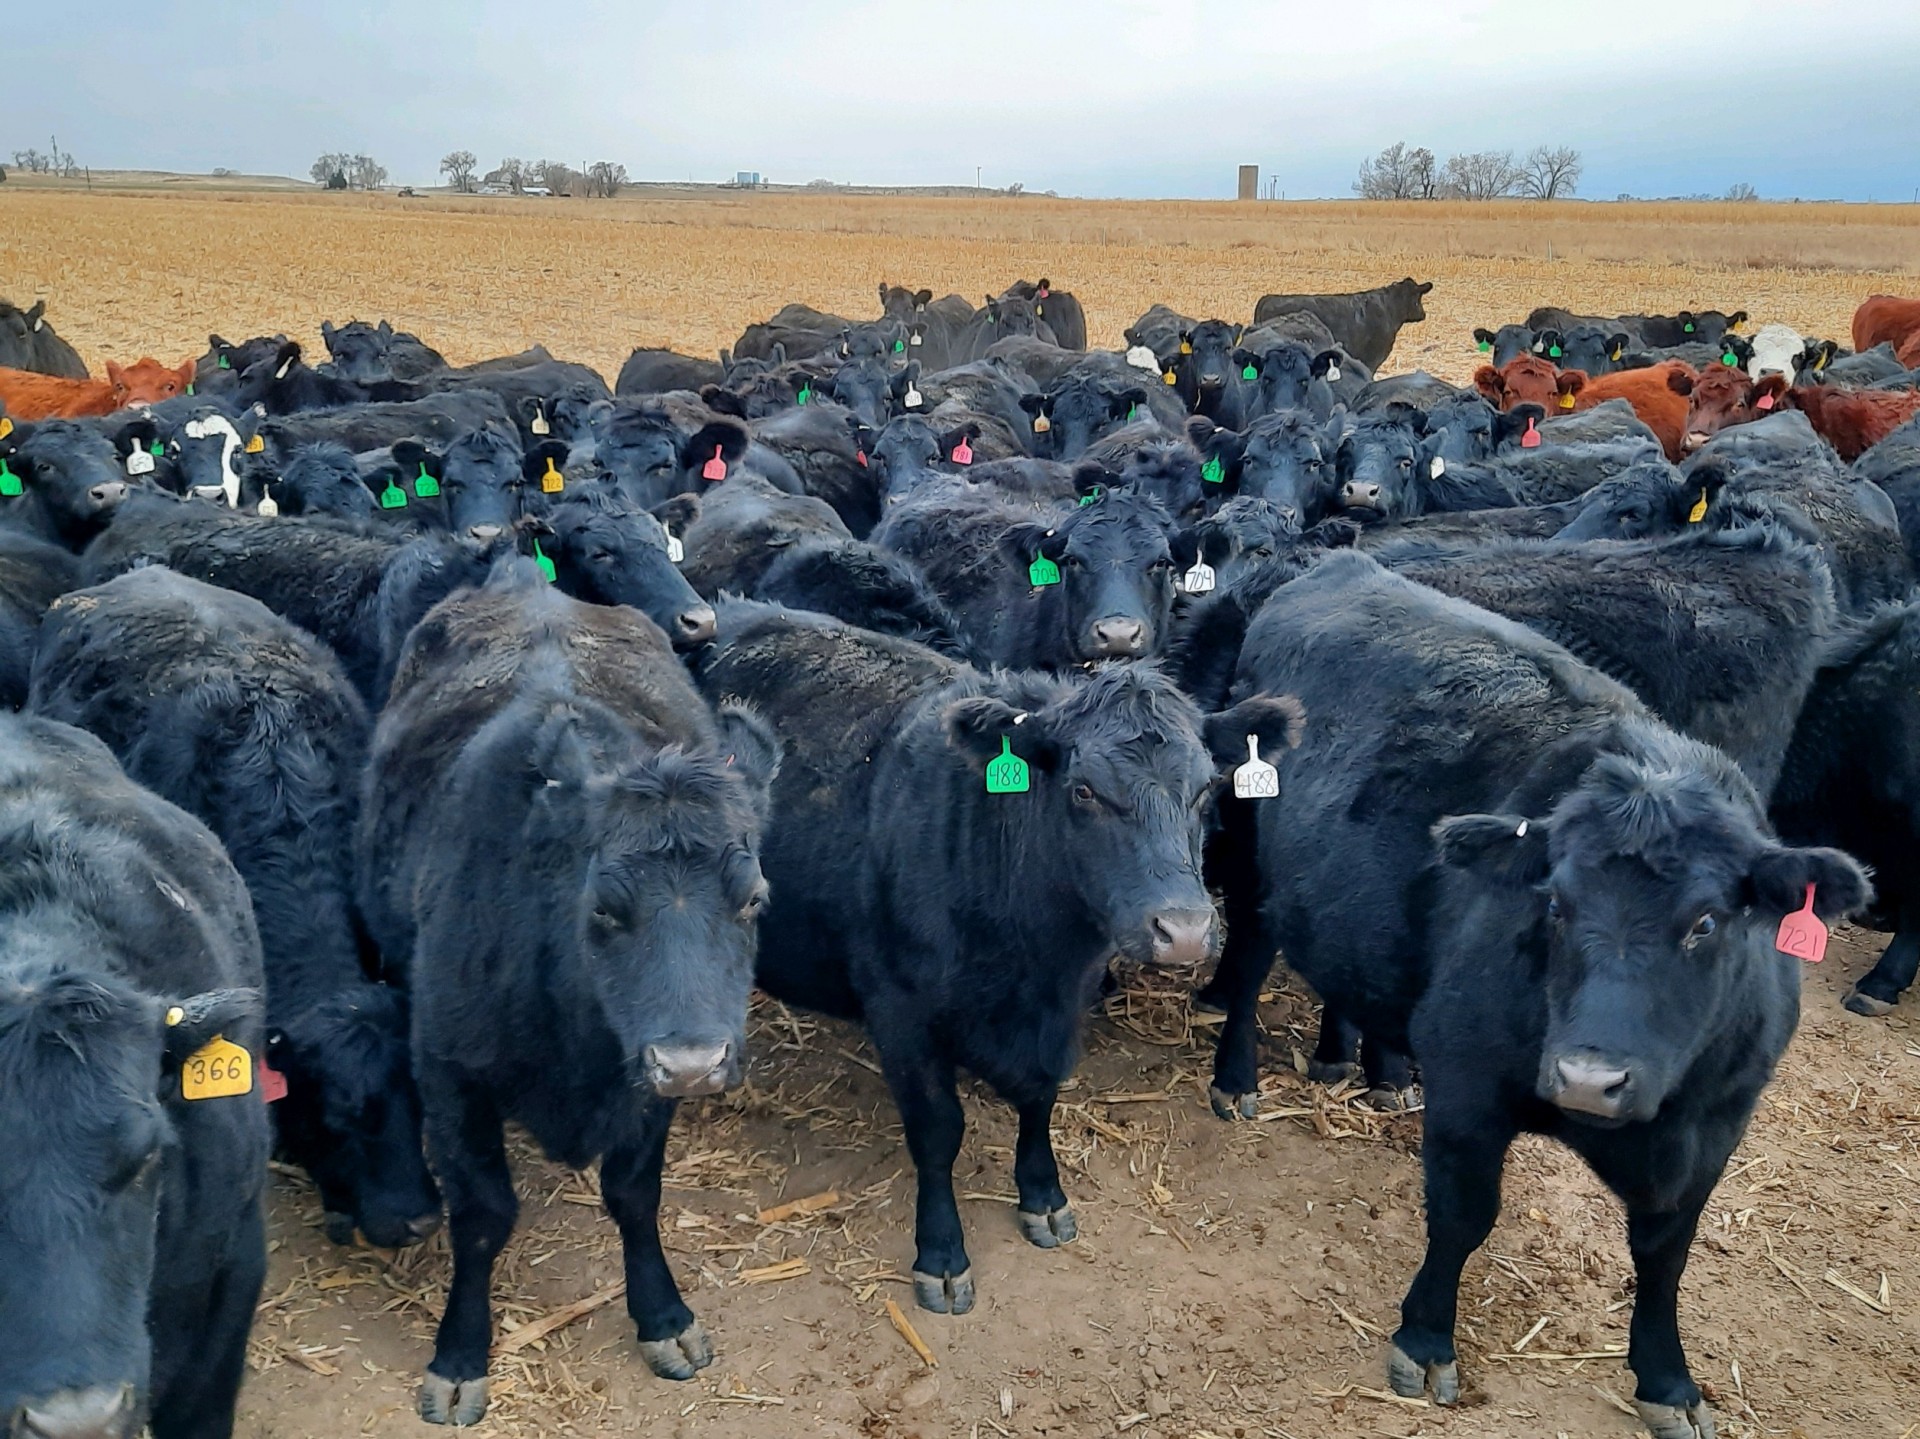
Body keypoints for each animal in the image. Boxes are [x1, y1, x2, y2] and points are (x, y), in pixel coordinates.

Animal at [358, 566, 778, 1424]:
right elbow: (482, 1216)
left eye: (752, 898)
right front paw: (459, 1354)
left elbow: (635, 1194)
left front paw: (663, 1314)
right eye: (604, 907)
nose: (693, 1061)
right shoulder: (449, 1071)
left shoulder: (641, 1080)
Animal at [692, 597, 1299, 1312]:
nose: (1182, 928)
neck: (1027, 953)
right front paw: (942, 1254)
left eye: (1207, 789)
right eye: (1083, 790)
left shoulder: (1065, 1002)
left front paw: (1042, 1196)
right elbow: (937, 1131)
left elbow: (1040, 1096)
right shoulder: (899, 1009)